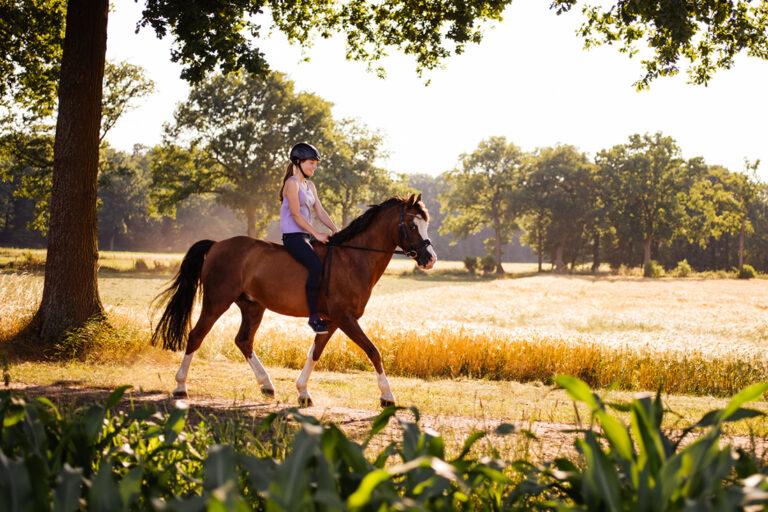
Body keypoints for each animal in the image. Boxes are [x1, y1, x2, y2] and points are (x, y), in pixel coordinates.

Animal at [151, 193, 437, 407]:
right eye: (412, 225)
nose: (430, 259)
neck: (352, 259)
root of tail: (217, 245)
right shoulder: (345, 318)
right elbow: (373, 351)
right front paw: (387, 396)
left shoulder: (332, 321)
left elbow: (315, 352)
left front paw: (303, 393)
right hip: (216, 301)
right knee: (196, 336)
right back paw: (180, 387)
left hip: (253, 307)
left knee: (243, 341)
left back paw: (267, 386)